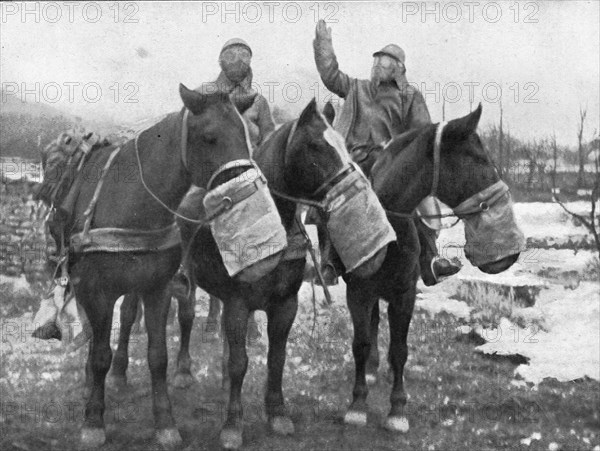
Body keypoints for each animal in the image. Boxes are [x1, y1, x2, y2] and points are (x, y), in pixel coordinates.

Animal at [68, 84, 260, 448]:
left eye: (248, 137)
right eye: (210, 137)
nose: (247, 189)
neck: (132, 203)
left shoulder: (156, 288)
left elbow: (158, 357)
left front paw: (165, 423)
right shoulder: (96, 291)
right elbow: (100, 354)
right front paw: (93, 421)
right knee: (94, 332)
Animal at [338, 106, 524, 434]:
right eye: (479, 158)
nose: (509, 255)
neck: (387, 225)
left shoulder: (405, 294)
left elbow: (399, 350)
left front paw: (397, 410)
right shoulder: (357, 291)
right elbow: (360, 343)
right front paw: (357, 405)